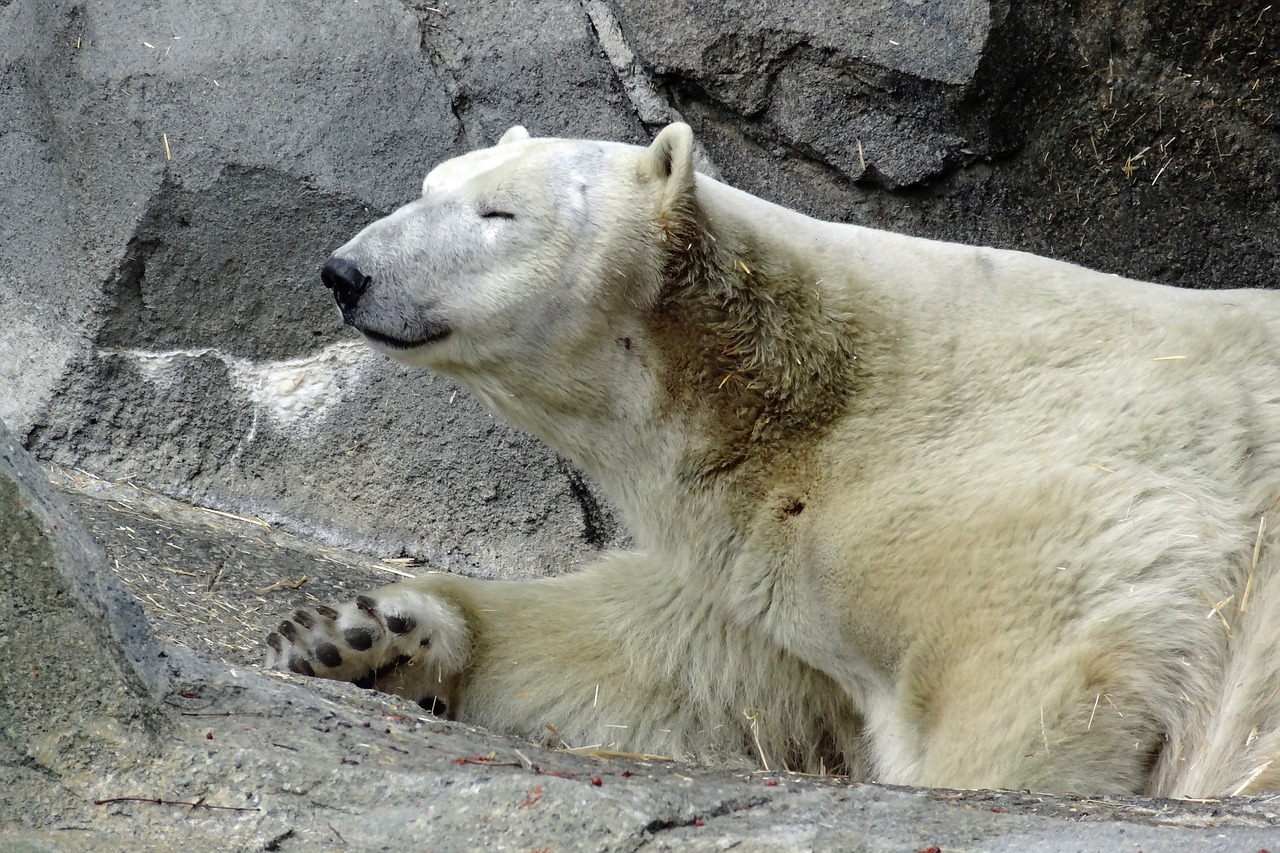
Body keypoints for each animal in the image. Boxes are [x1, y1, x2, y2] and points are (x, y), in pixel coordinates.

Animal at [264, 122, 1280, 794]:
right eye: (432, 181)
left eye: (498, 210)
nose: (345, 272)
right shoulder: (764, 546)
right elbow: (665, 658)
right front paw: (357, 630)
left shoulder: (1024, 488)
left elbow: (1048, 657)